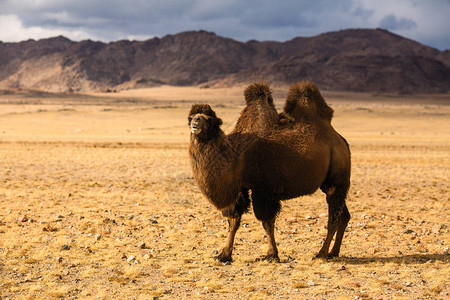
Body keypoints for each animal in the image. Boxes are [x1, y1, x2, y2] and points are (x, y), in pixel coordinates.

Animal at [188, 81, 350, 262]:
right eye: (190, 117)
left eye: (209, 119)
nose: (195, 121)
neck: (237, 156)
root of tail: (341, 141)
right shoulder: (241, 189)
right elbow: (233, 220)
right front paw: (224, 254)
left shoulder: (264, 189)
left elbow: (266, 222)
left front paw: (272, 255)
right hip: (331, 183)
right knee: (344, 215)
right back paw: (334, 252)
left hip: (336, 178)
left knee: (334, 215)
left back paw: (321, 253)